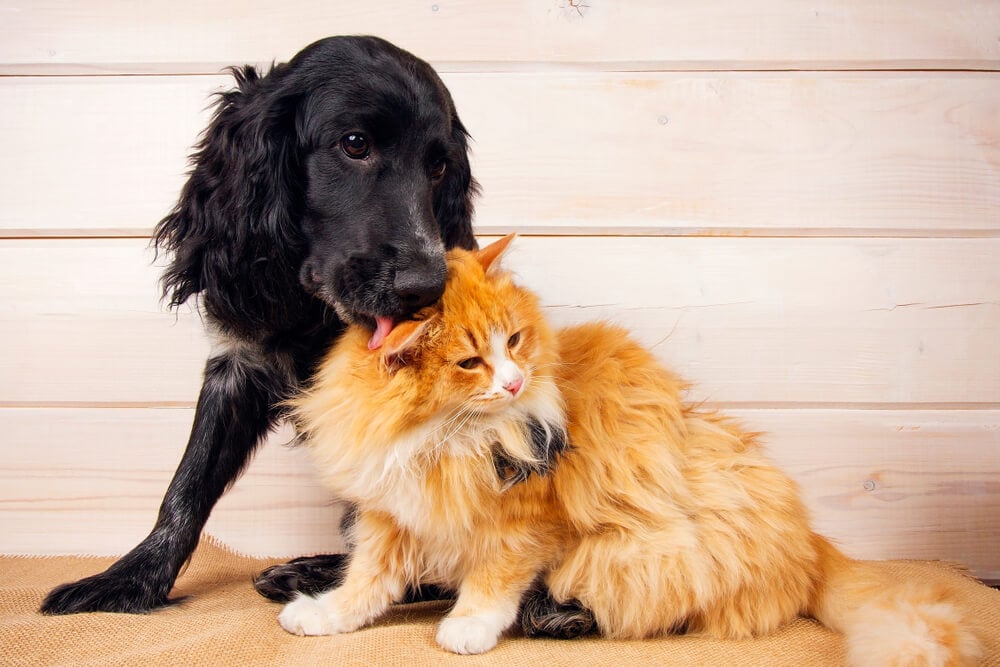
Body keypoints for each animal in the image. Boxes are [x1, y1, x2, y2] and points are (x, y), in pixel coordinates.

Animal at [39, 34, 476, 612]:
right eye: (355, 144)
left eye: (440, 166)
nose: (426, 288)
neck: (313, 311)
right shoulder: (237, 364)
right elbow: (186, 486)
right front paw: (130, 579)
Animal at [278, 235, 980, 664]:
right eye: (471, 362)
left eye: (515, 341)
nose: (515, 382)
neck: (439, 438)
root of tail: (810, 538)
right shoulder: (390, 512)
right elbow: (364, 583)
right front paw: (325, 615)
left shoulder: (524, 525)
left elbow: (493, 581)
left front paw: (468, 627)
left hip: (647, 551)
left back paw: (558, 616)